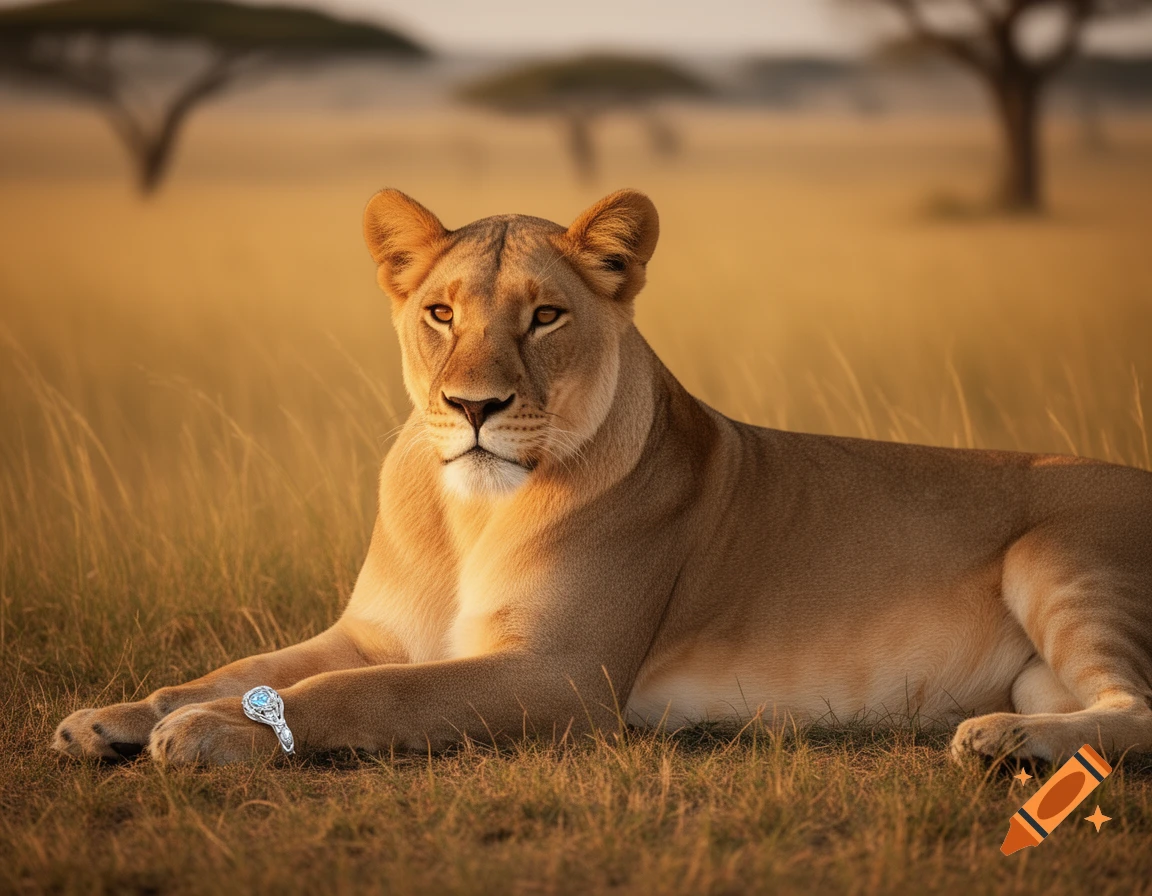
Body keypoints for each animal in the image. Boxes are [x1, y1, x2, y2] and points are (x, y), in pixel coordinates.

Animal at [53, 188, 1152, 766]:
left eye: (545, 316)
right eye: (441, 313)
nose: (474, 407)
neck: (468, 513)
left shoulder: (561, 672)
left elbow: (352, 696)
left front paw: (200, 733)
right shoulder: (372, 629)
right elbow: (240, 668)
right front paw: (113, 716)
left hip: (1063, 553)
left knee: (1137, 709)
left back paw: (996, 738)